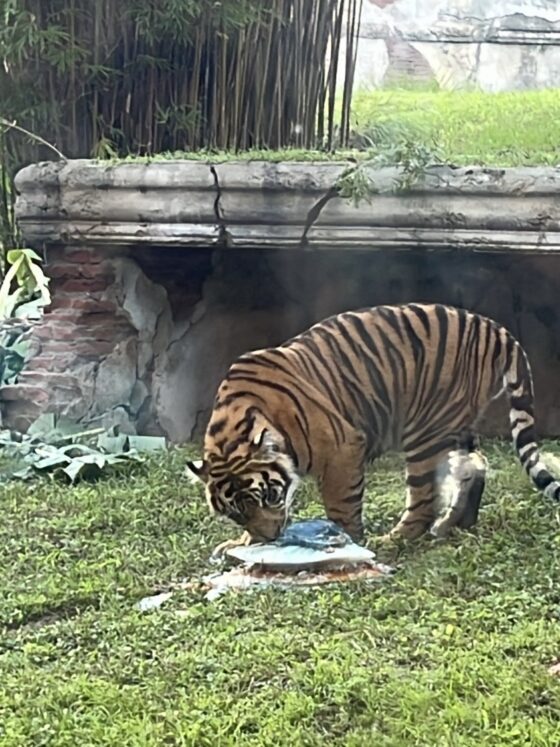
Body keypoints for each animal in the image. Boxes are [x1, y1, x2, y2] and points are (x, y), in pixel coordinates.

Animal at [187, 303, 560, 551]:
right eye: (236, 513)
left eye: (269, 495)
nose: (269, 539)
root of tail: (496, 329)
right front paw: (243, 542)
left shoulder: (343, 447)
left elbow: (341, 503)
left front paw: (345, 541)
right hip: (455, 426)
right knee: (475, 465)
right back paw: (452, 525)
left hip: (424, 433)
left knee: (424, 498)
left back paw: (395, 539)